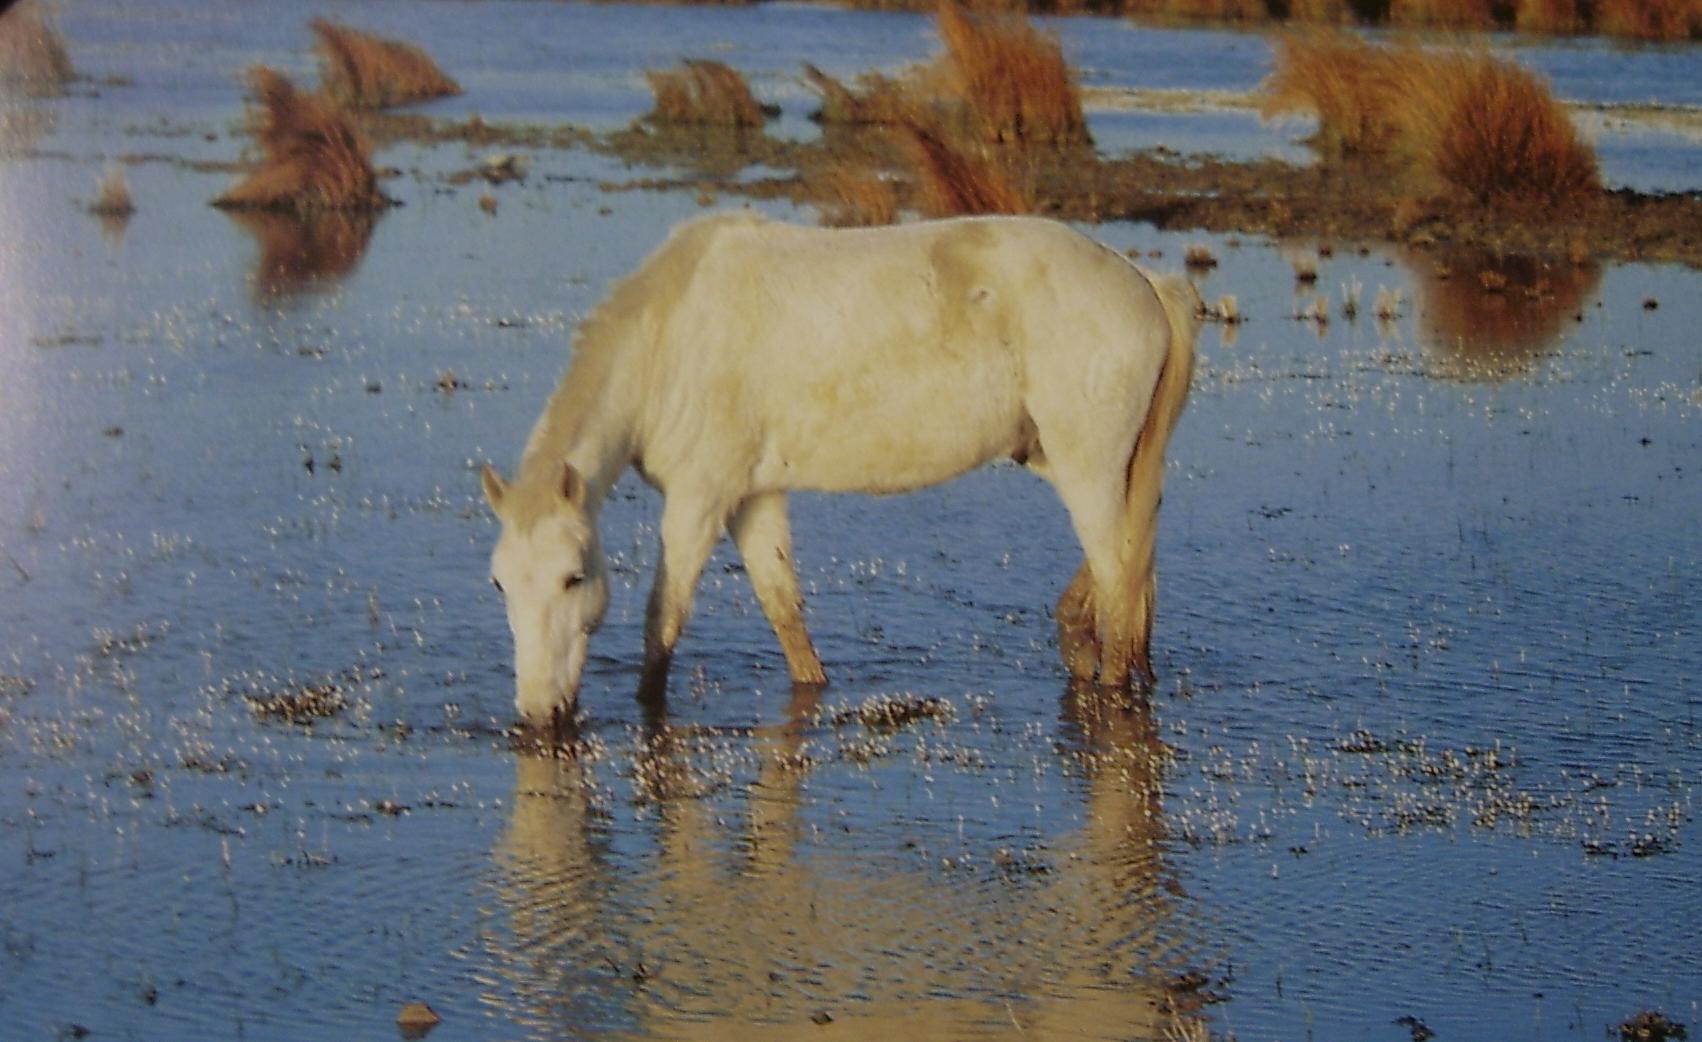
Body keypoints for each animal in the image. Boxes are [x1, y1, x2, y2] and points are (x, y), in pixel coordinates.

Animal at [479, 213, 1198, 732]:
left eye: (573, 578)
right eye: (500, 585)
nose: (540, 714)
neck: (672, 335)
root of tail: (1143, 284)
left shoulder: (699, 499)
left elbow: (664, 621)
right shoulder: (753, 497)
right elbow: (782, 608)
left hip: (1088, 473)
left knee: (1119, 585)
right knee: (1130, 575)